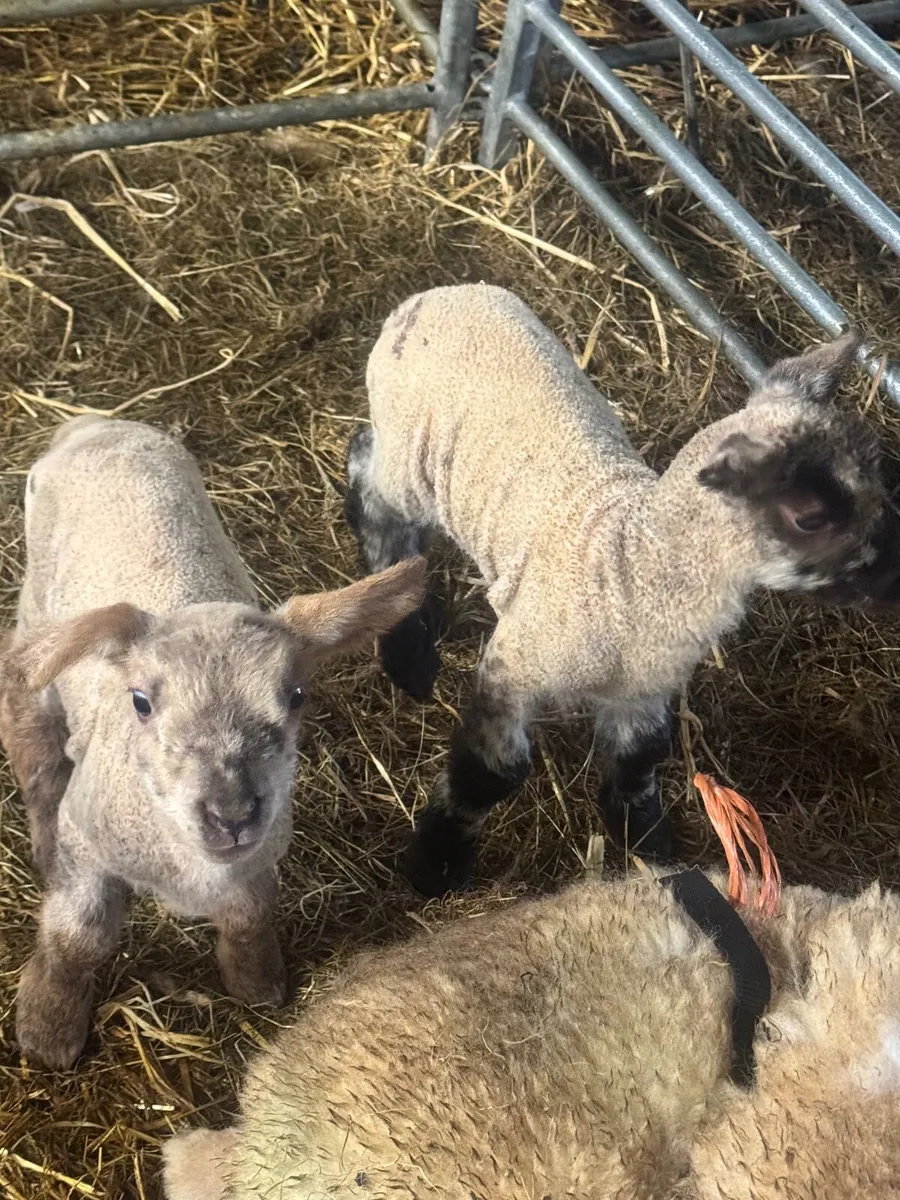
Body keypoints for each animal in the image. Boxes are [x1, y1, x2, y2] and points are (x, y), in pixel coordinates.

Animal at [0, 415, 425, 1071]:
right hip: (39, 606)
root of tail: (98, 424)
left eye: (296, 695)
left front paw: (257, 984)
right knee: (22, 690)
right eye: (140, 702)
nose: (232, 814)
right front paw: (48, 1029)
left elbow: (249, 915)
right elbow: (78, 938)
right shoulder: (87, 840)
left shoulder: (261, 853)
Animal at [344, 283, 900, 896]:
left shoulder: (644, 687)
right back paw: (407, 649)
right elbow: (491, 773)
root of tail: (436, 294)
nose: (895, 577)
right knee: (368, 476)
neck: (630, 567)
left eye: (877, 480)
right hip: (408, 460)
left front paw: (643, 837)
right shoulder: (515, 665)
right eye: (809, 516)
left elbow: (642, 756)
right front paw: (435, 864)